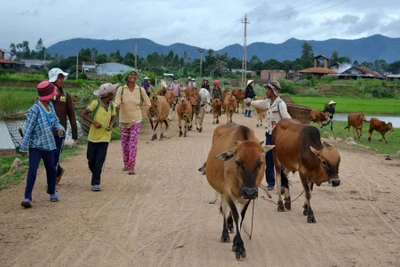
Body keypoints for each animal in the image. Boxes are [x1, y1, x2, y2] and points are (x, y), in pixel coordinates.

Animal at [205, 124, 274, 260]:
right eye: (237, 161)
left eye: (260, 162)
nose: (249, 192)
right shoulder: (228, 192)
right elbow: (236, 215)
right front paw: (240, 247)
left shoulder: (247, 196)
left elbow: (242, 217)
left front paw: (236, 242)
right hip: (222, 192)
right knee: (225, 210)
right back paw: (225, 234)